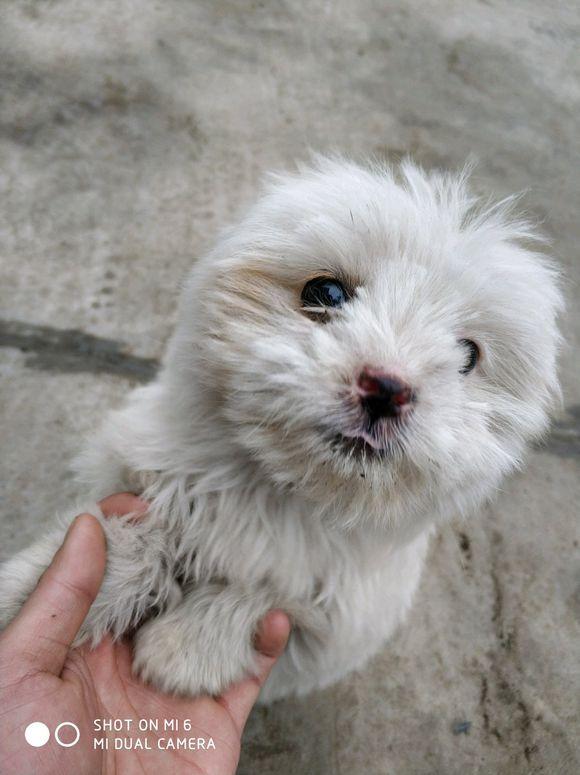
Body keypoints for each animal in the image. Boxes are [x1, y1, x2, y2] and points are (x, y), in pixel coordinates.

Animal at [0, 158, 560, 704]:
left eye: (468, 354)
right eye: (326, 292)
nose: (387, 389)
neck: (281, 488)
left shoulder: (346, 608)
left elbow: (273, 591)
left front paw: (186, 650)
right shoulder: (145, 470)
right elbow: (144, 533)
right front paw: (49, 590)